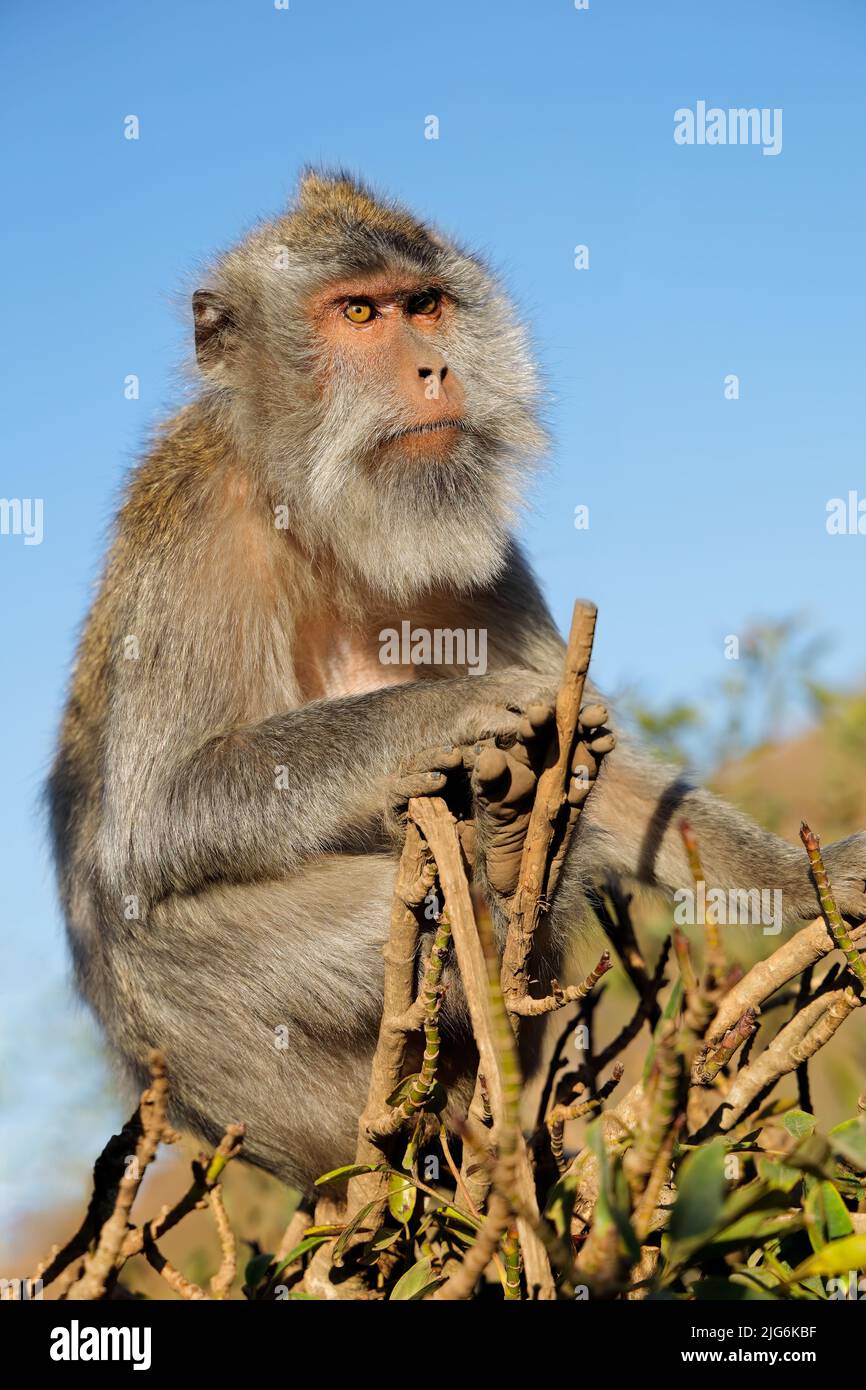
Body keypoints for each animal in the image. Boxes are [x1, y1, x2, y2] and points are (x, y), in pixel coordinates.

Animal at [47, 170, 866, 1195]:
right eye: (359, 313)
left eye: (425, 305)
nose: (435, 369)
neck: (330, 520)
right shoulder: (201, 528)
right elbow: (155, 817)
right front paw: (450, 711)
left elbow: (610, 772)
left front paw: (797, 880)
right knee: (158, 939)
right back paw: (487, 902)